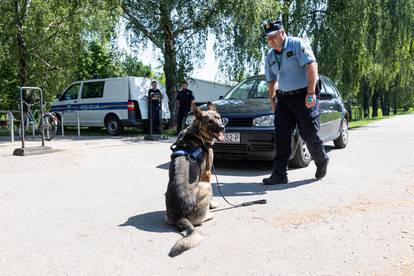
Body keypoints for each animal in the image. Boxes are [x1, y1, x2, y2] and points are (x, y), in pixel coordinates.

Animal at [165, 101, 225, 256]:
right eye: (210, 121)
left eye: (218, 117)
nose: (222, 127)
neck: (198, 134)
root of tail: (181, 217)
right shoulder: (207, 174)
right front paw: (212, 205)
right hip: (206, 186)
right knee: (199, 221)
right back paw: (209, 214)